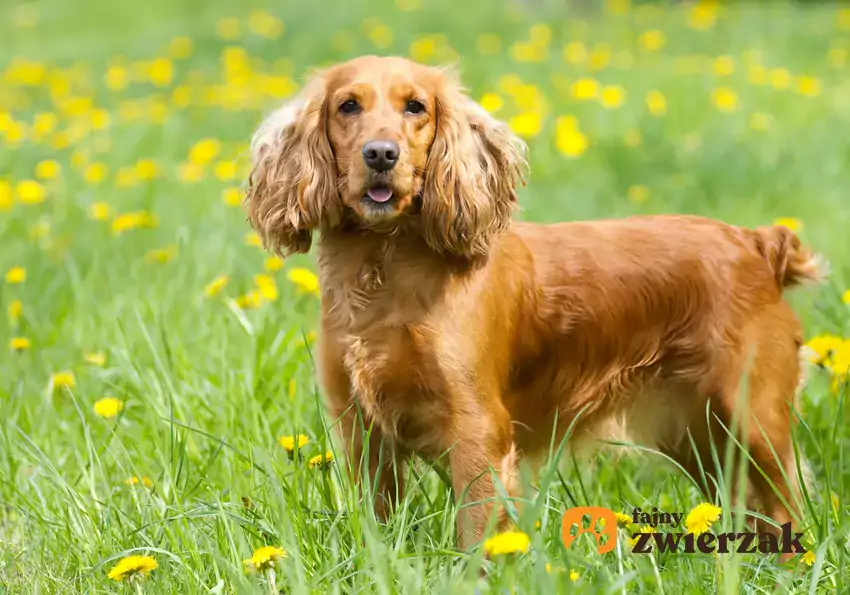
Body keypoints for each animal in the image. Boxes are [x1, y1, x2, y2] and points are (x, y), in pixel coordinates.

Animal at [243, 54, 820, 548]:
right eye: (348, 106)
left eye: (416, 107)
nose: (381, 154)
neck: (385, 269)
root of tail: (757, 243)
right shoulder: (361, 430)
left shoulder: (478, 430)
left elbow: (477, 537)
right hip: (699, 435)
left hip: (753, 420)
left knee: (789, 508)